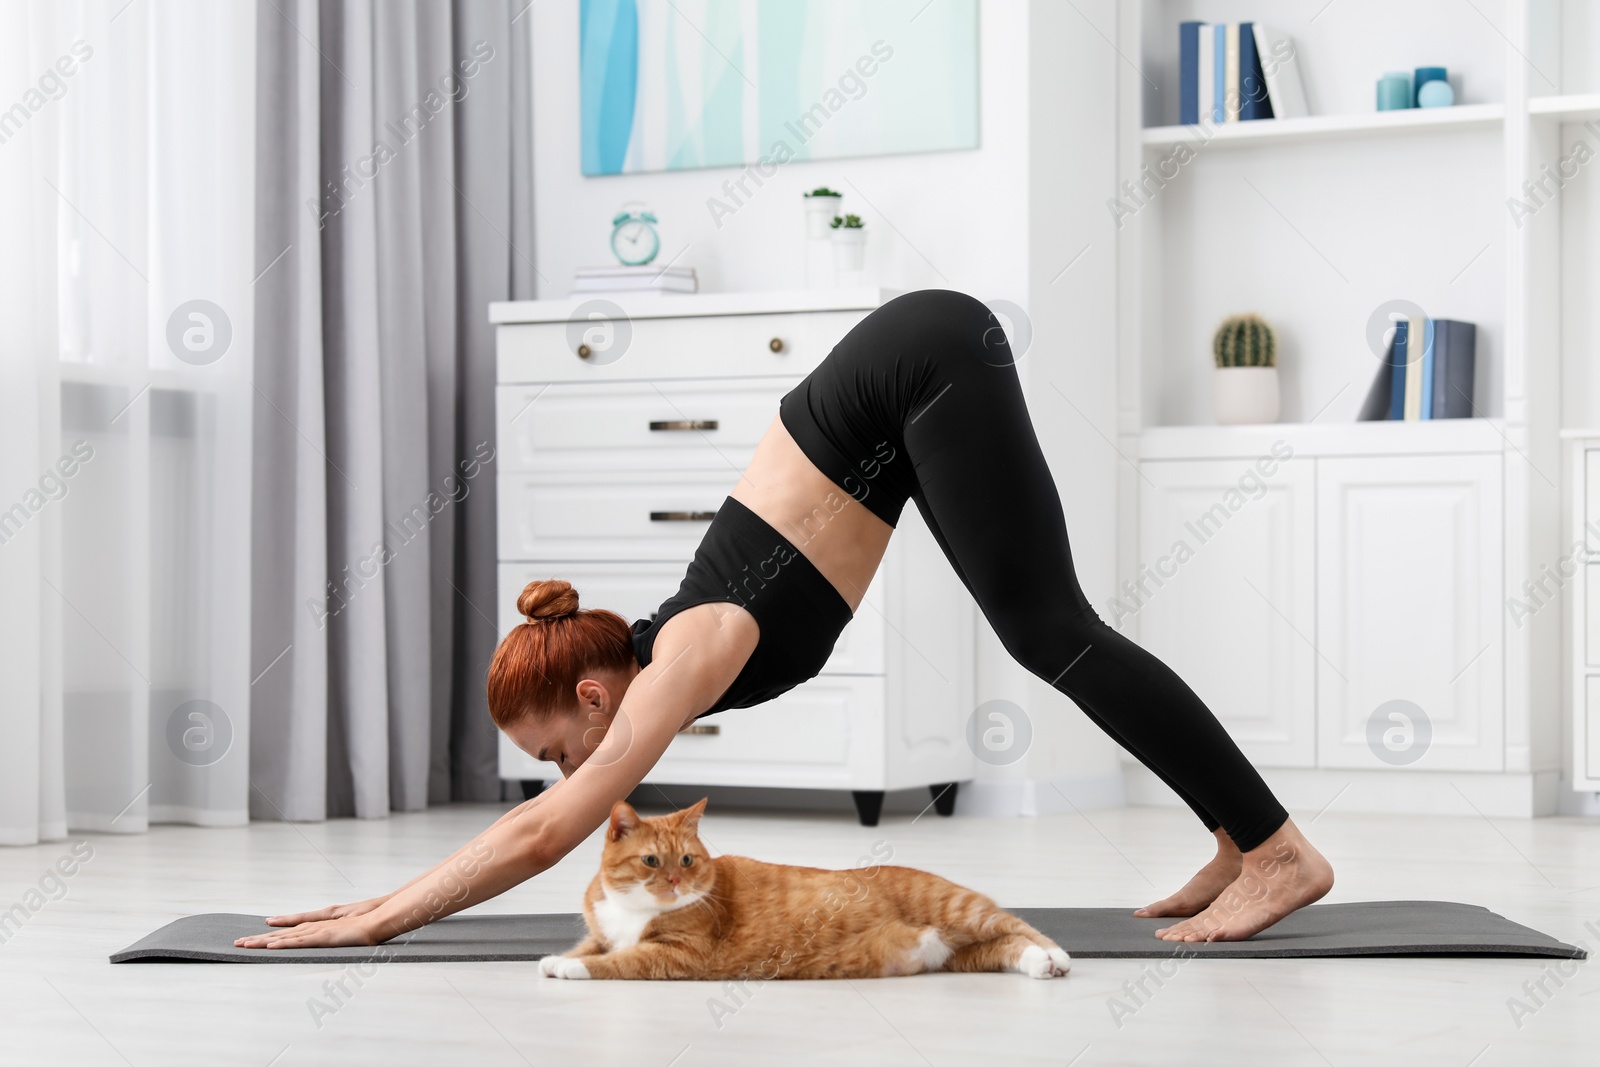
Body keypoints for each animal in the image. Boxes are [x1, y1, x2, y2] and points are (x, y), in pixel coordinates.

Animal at [537, 799, 1075, 985]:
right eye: (652, 861)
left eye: (687, 861)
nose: (676, 882)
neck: (634, 907)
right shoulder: (602, 931)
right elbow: (592, 946)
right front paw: (553, 958)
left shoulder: (680, 953)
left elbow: (616, 960)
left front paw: (568, 968)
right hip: (957, 954)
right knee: (1007, 946)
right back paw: (1039, 965)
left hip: (958, 910)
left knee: (1018, 925)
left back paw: (1058, 956)